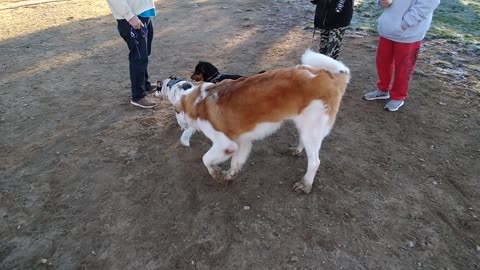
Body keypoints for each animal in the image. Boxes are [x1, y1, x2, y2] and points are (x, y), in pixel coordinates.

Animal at [159, 50, 350, 194]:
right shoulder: (241, 142)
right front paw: (229, 175)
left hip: (312, 129)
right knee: (304, 141)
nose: (182, 126)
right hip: (303, 124)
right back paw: (297, 150)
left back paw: (305, 184)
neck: (199, 100)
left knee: (315, 162)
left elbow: (206, 159)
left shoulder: (225, 144)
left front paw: (217, 174)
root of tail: (327, 74)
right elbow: (235, 162)